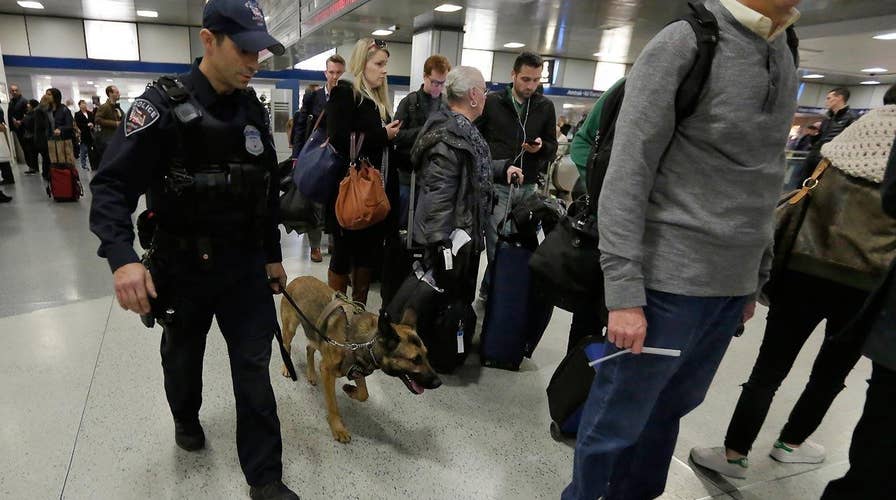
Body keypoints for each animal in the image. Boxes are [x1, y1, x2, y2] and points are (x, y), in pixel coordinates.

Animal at [276, 276, 438, 444]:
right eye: (415, 360)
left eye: (427, 355)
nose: (438, 382)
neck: (367, 342)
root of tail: (298, 279)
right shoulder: (327, 371)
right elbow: (333, 405)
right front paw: (338, 428)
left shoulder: (356, 370)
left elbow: (364, 394)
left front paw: (350, 390)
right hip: (290, 329)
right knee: (286, 346)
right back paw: (288, 367)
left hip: (316, 334)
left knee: (309, 348)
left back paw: (312, 374)